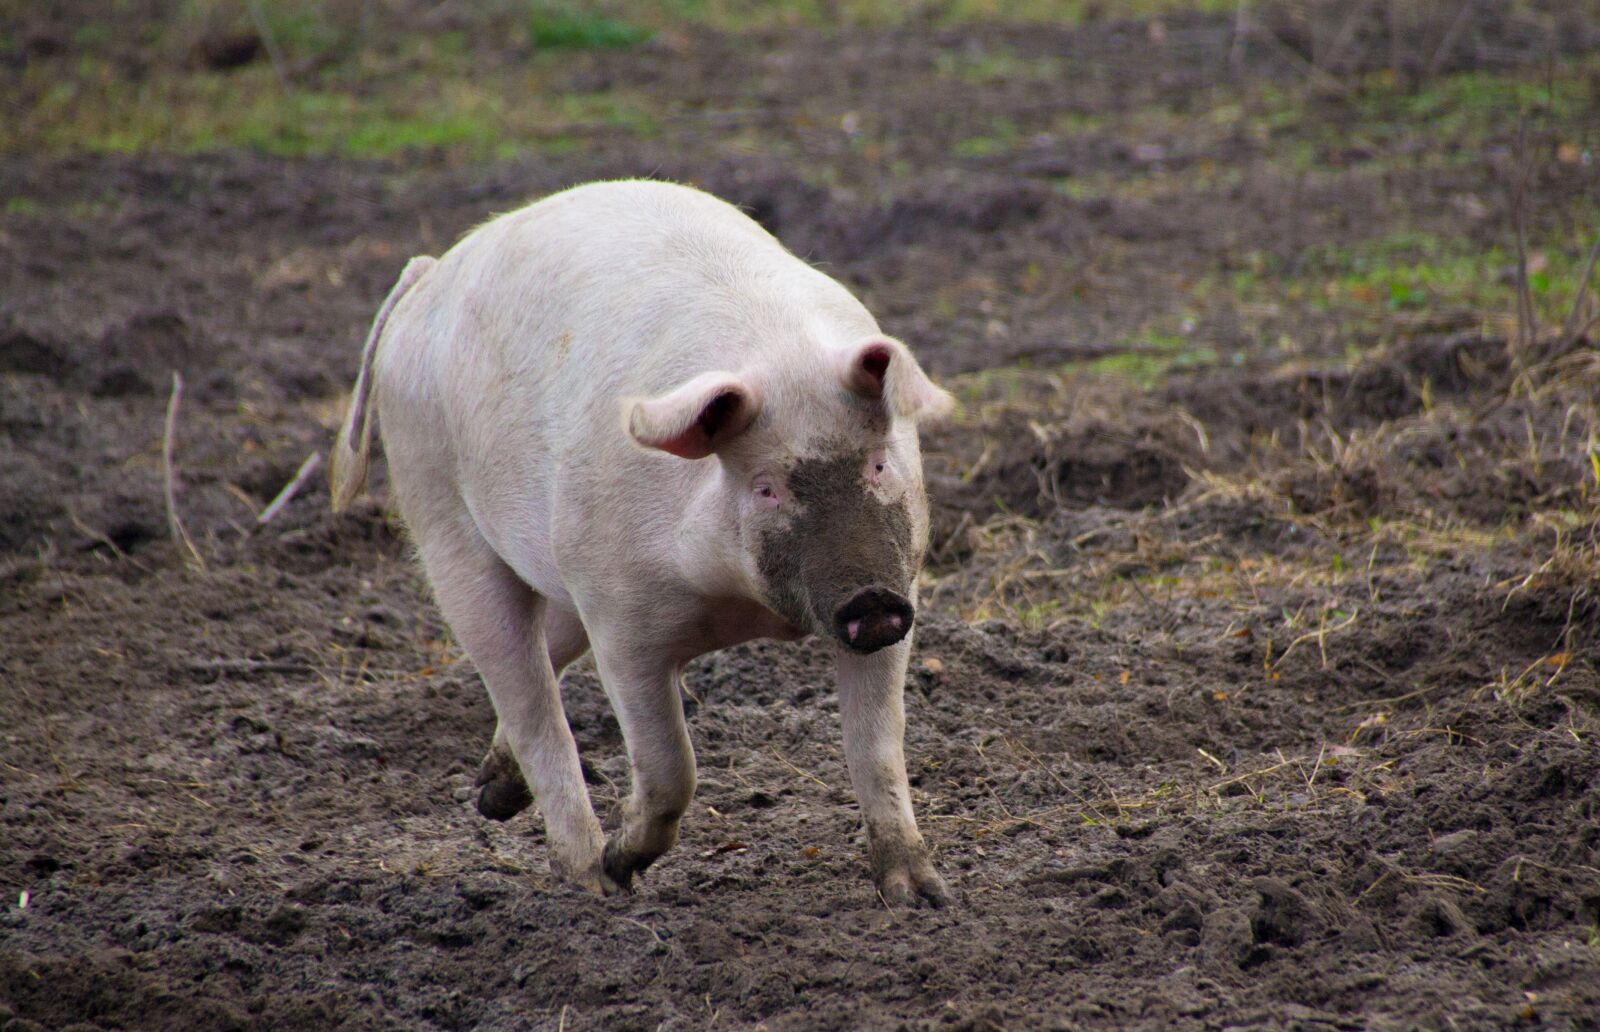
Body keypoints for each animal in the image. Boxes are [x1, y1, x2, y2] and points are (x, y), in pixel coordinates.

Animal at [330, 179, 953, 906]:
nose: (870, 599)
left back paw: (495, 795)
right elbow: (671, 765)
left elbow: (879, 749)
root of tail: (431, 274)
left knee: (546, 654)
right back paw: (590, 879)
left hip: (560, 567)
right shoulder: (623, 626)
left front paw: (924, 897)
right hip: (440, 513)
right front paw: (624, 865)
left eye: (879, 463)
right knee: (530, 700)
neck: (741, 604)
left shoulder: (900, 590)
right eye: (766, 488)